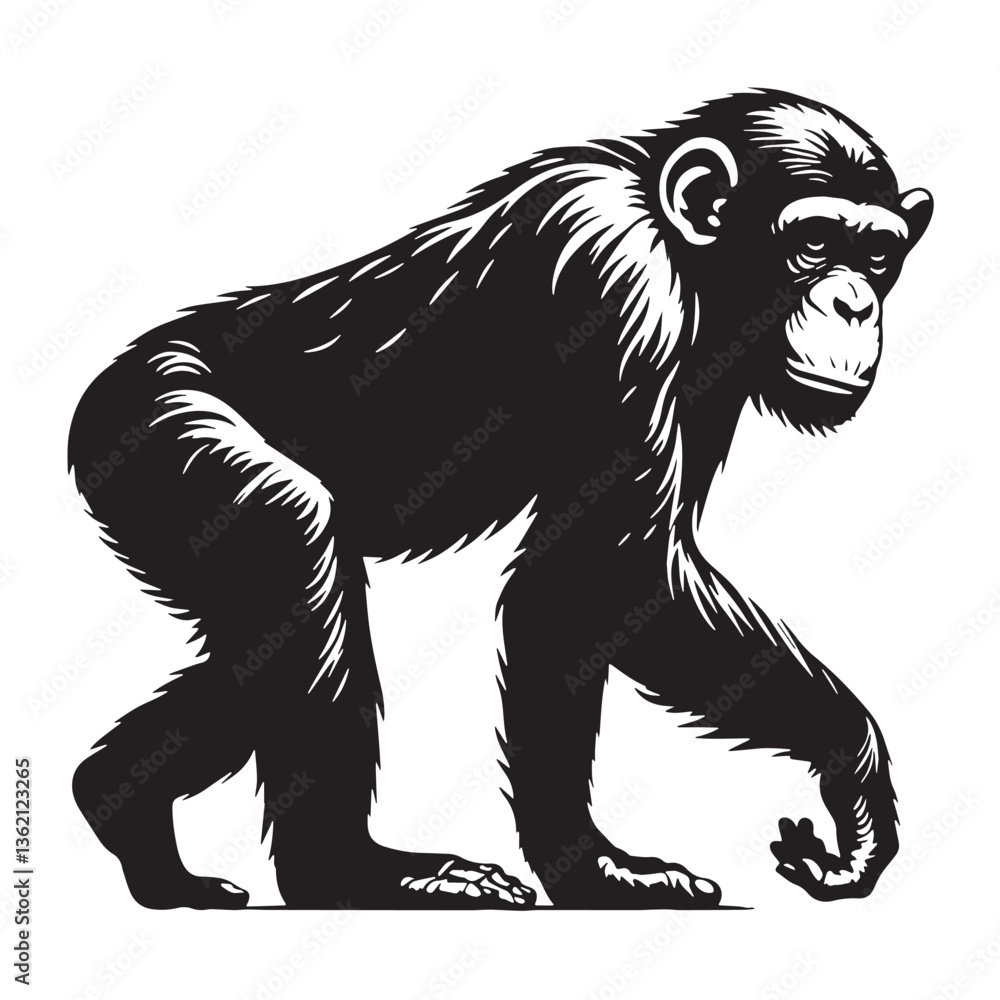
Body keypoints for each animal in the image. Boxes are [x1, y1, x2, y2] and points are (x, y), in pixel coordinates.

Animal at [70, 89, 932, 909]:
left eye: (878, 254)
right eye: (814, 243)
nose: (856, 303)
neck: (692, 260)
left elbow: (620, 579)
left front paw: (853, 791)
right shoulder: (615, 279)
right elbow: (594, 575)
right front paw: (595, 869)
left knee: (249, 652)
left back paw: (130, 819)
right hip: (158, 432)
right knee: (293, 541)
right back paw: (352, 873)